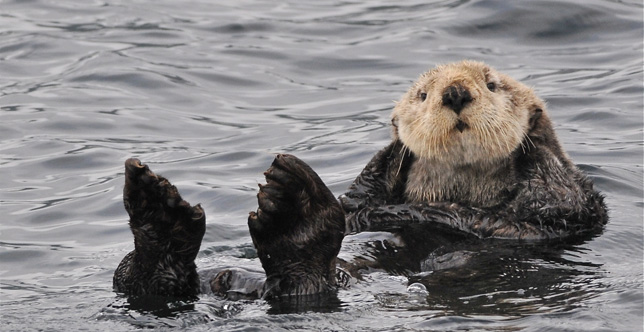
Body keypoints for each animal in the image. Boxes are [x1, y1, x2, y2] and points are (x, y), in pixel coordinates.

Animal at [113, 60, 608, 300]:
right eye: (422, 94)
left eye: (491, 84)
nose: (455, 92)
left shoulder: (569, 211)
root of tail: (244, 288)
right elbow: (359, 198)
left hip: (320, 281)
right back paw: (158, 210)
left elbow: (558, 195)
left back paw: (293, 214)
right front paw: (392, 153)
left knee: (306, 281)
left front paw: (533, 141)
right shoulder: (362, 199)